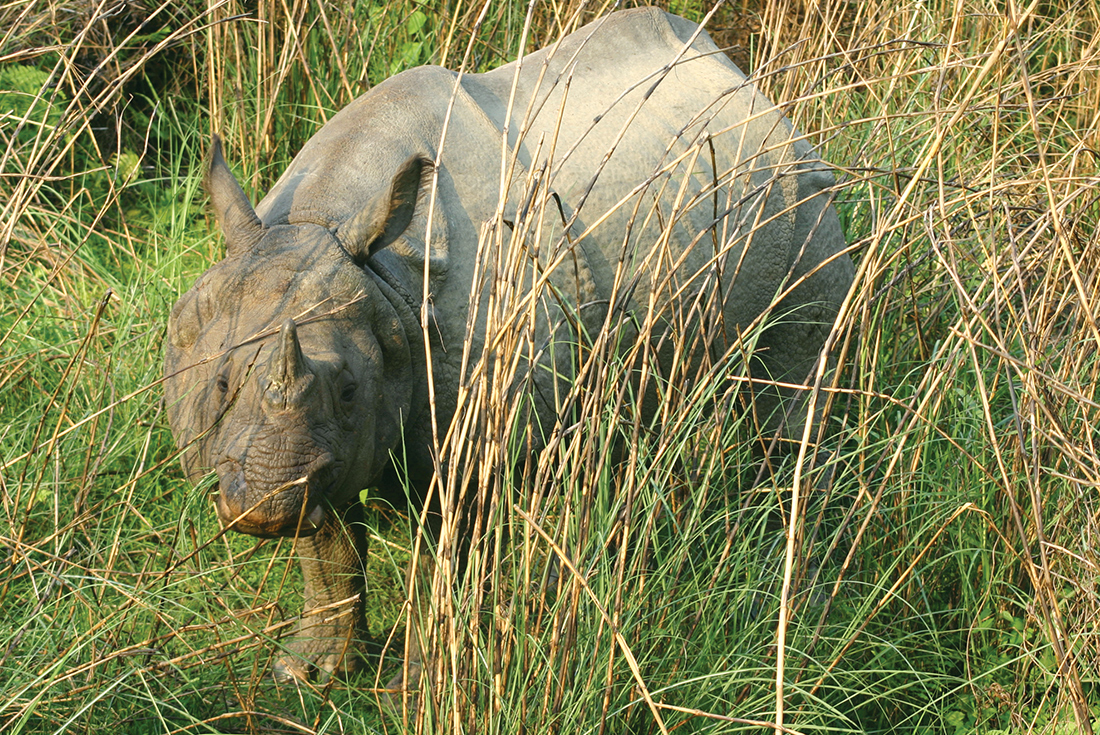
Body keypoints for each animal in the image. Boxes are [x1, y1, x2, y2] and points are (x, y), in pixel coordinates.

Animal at [164, 7, 853, 686]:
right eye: (219, 384)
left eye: (351, 389)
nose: (261, 505)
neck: (330, 230)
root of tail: (754, 91)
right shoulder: (320, 446)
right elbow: (327, 543)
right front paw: (308, 673)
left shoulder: (471, 433)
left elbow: (445, 560)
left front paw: (425, 684)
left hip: (804, 199)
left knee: (793, 400)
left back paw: (801, 605)